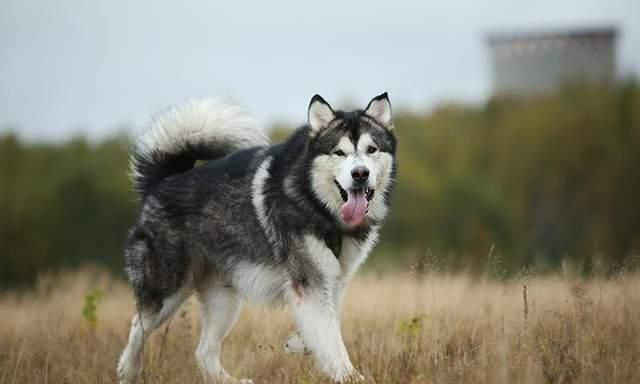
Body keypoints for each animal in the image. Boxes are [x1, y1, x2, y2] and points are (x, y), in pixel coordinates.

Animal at [115, 93, 396, 384]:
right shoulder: (311, 283)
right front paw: (351, 376)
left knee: (203, 351)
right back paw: (128, 370)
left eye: (371, 150)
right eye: (339, 152)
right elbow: (331, 338)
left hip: (223, 299)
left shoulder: (332, 281)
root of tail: (161, 182)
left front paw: (298, 342)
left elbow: (325, 327)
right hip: (167, 289)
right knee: (139, 325)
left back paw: (230, 380)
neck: (317, 204)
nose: (360, 173)